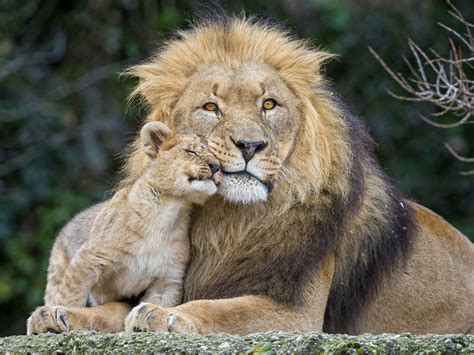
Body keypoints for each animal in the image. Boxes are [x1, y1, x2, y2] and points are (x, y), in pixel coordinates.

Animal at [28, 16, 470, 336]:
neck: (231, 221)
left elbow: (223, 309)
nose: (250, 145)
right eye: (211, 107)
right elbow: (109, 308)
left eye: (269, 104)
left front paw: (164, 316)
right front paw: (58, 314)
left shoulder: (298, 314)